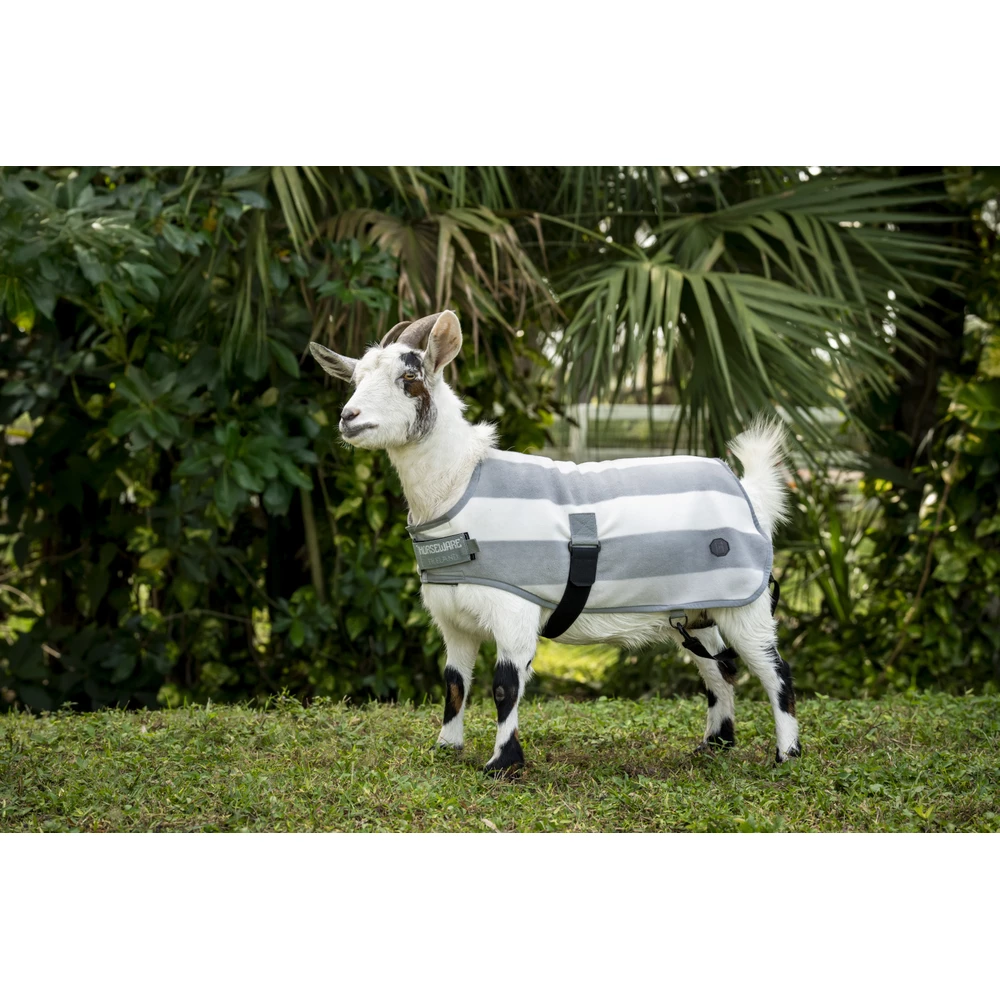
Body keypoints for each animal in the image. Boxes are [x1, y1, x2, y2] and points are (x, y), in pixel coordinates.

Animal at [310, 310, 800, 772]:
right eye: (355, 380)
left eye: (409, 379)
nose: (348, 418)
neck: (459, 484)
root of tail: (749, 492)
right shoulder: (453, 621)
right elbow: (454, 682)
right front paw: (446, 748)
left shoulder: (514, 611)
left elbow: (505, 685)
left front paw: (502, 764)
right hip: (698, 613)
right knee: (719, 668)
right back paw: (715, 745)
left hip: (747, 605)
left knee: (774, 670)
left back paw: (786, 755)